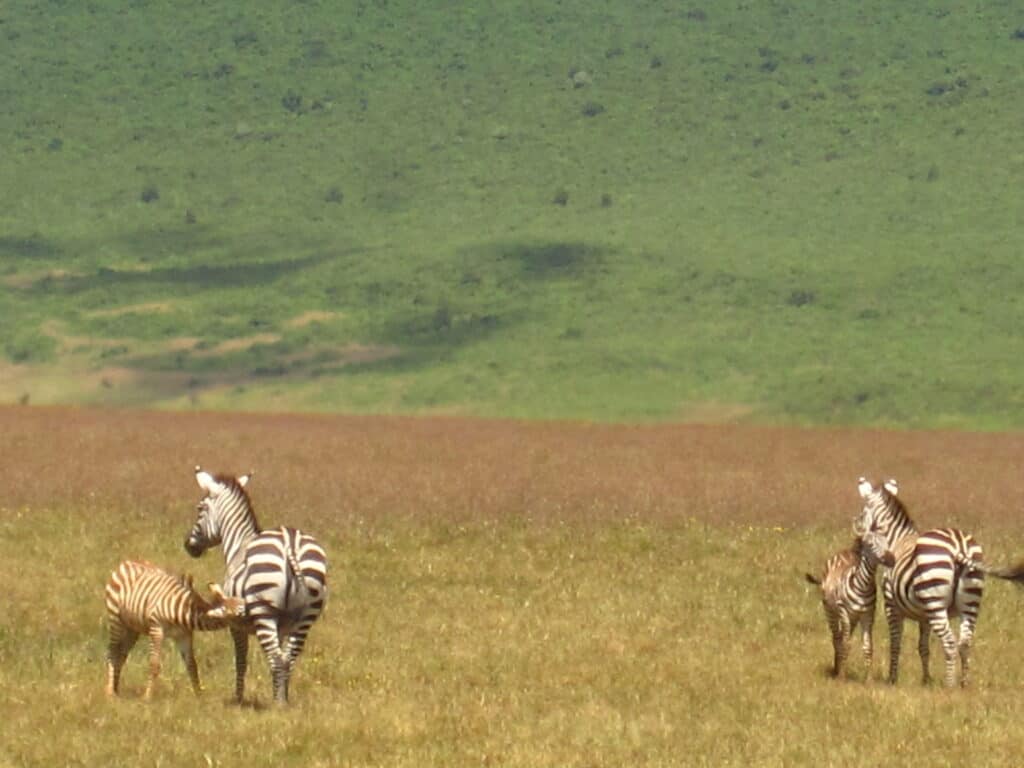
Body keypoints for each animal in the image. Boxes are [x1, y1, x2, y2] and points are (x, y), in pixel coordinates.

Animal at [105, 559, 245, 699]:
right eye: (240, 615)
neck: (183, 612)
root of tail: (127, 562)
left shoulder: (184, 635)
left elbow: (192, 665)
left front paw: (198, 696)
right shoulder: (157, 630)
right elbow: (154, 664)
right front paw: (147, 697)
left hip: (132, 628)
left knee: (122, 655)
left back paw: (116, 690)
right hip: (116, 620)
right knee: (113, 652)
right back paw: (110, 692)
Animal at [184, 467, 328, 704]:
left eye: (200, 508)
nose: (188, 546)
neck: (239, 542)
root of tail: (290, 543)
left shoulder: (234, 621)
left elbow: (240, 660)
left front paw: (239, 699)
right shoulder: (282, 626)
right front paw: (279, 691)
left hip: (263, 611)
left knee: (276, 658)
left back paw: (278, 706)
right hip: (307, 614)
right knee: (287, 658)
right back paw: (283, 701)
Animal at [805, 535, 894, 679]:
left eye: (887, 542)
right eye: (870, 545)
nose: (892, 559)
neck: (863, 586)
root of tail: (844, 551)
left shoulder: (868, 614)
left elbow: (868, 647)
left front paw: (869, 679)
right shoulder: (844, 611)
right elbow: (846, 645)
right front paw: (842, 676)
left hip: (853, 618)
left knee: (842, 638)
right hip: (831, 611)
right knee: (837, 639)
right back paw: (836, 670)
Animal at [854, 477, 1024, 687]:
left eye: (863, 513)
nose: (858, 534)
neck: (897, 540)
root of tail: (959, 547)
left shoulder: (891, 606)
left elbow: (895, 643)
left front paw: (892, 679)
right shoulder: (924, 616)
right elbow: (923, 647)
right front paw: (926, 679)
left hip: (935, 601)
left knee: (950, 643)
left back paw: (949, 685)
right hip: (970, 601)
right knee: (965, 642)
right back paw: (964, 684)